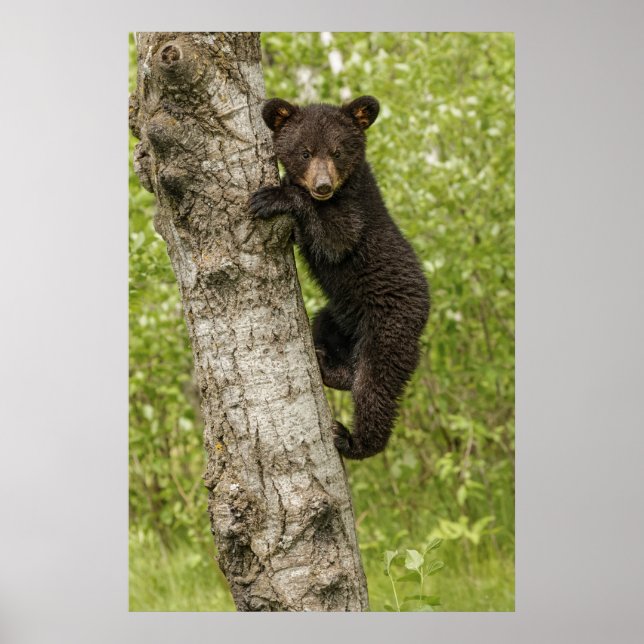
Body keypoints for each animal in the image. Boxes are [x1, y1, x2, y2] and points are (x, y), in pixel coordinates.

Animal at [249, 95, 430, 460]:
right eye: (305, 152)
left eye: (337, 151)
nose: (322, 186)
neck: (344, 188)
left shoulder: (356, 212)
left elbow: (336, 238)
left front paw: (274, 196)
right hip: (338, 317)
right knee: (329, 336)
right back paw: (328, 365)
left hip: (388, 328)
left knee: (375, 386)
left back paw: (354, 440)